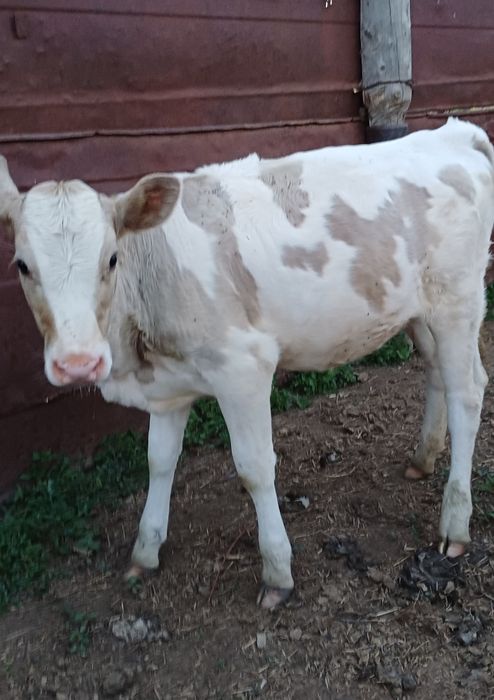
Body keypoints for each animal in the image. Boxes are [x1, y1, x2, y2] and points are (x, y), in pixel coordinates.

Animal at [1, 118, 493, 609]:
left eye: (111, 259)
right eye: (22, 265)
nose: (78, 362)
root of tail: (454, 132)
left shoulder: (243, 368)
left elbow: (254, 467)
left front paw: (277, 571)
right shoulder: (168, 386)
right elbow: (159, 460)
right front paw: (145, 549)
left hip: (458, 300)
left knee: (468, 392)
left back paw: (455, 522)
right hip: (418, 311)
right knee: (437, 372)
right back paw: (423, 456)